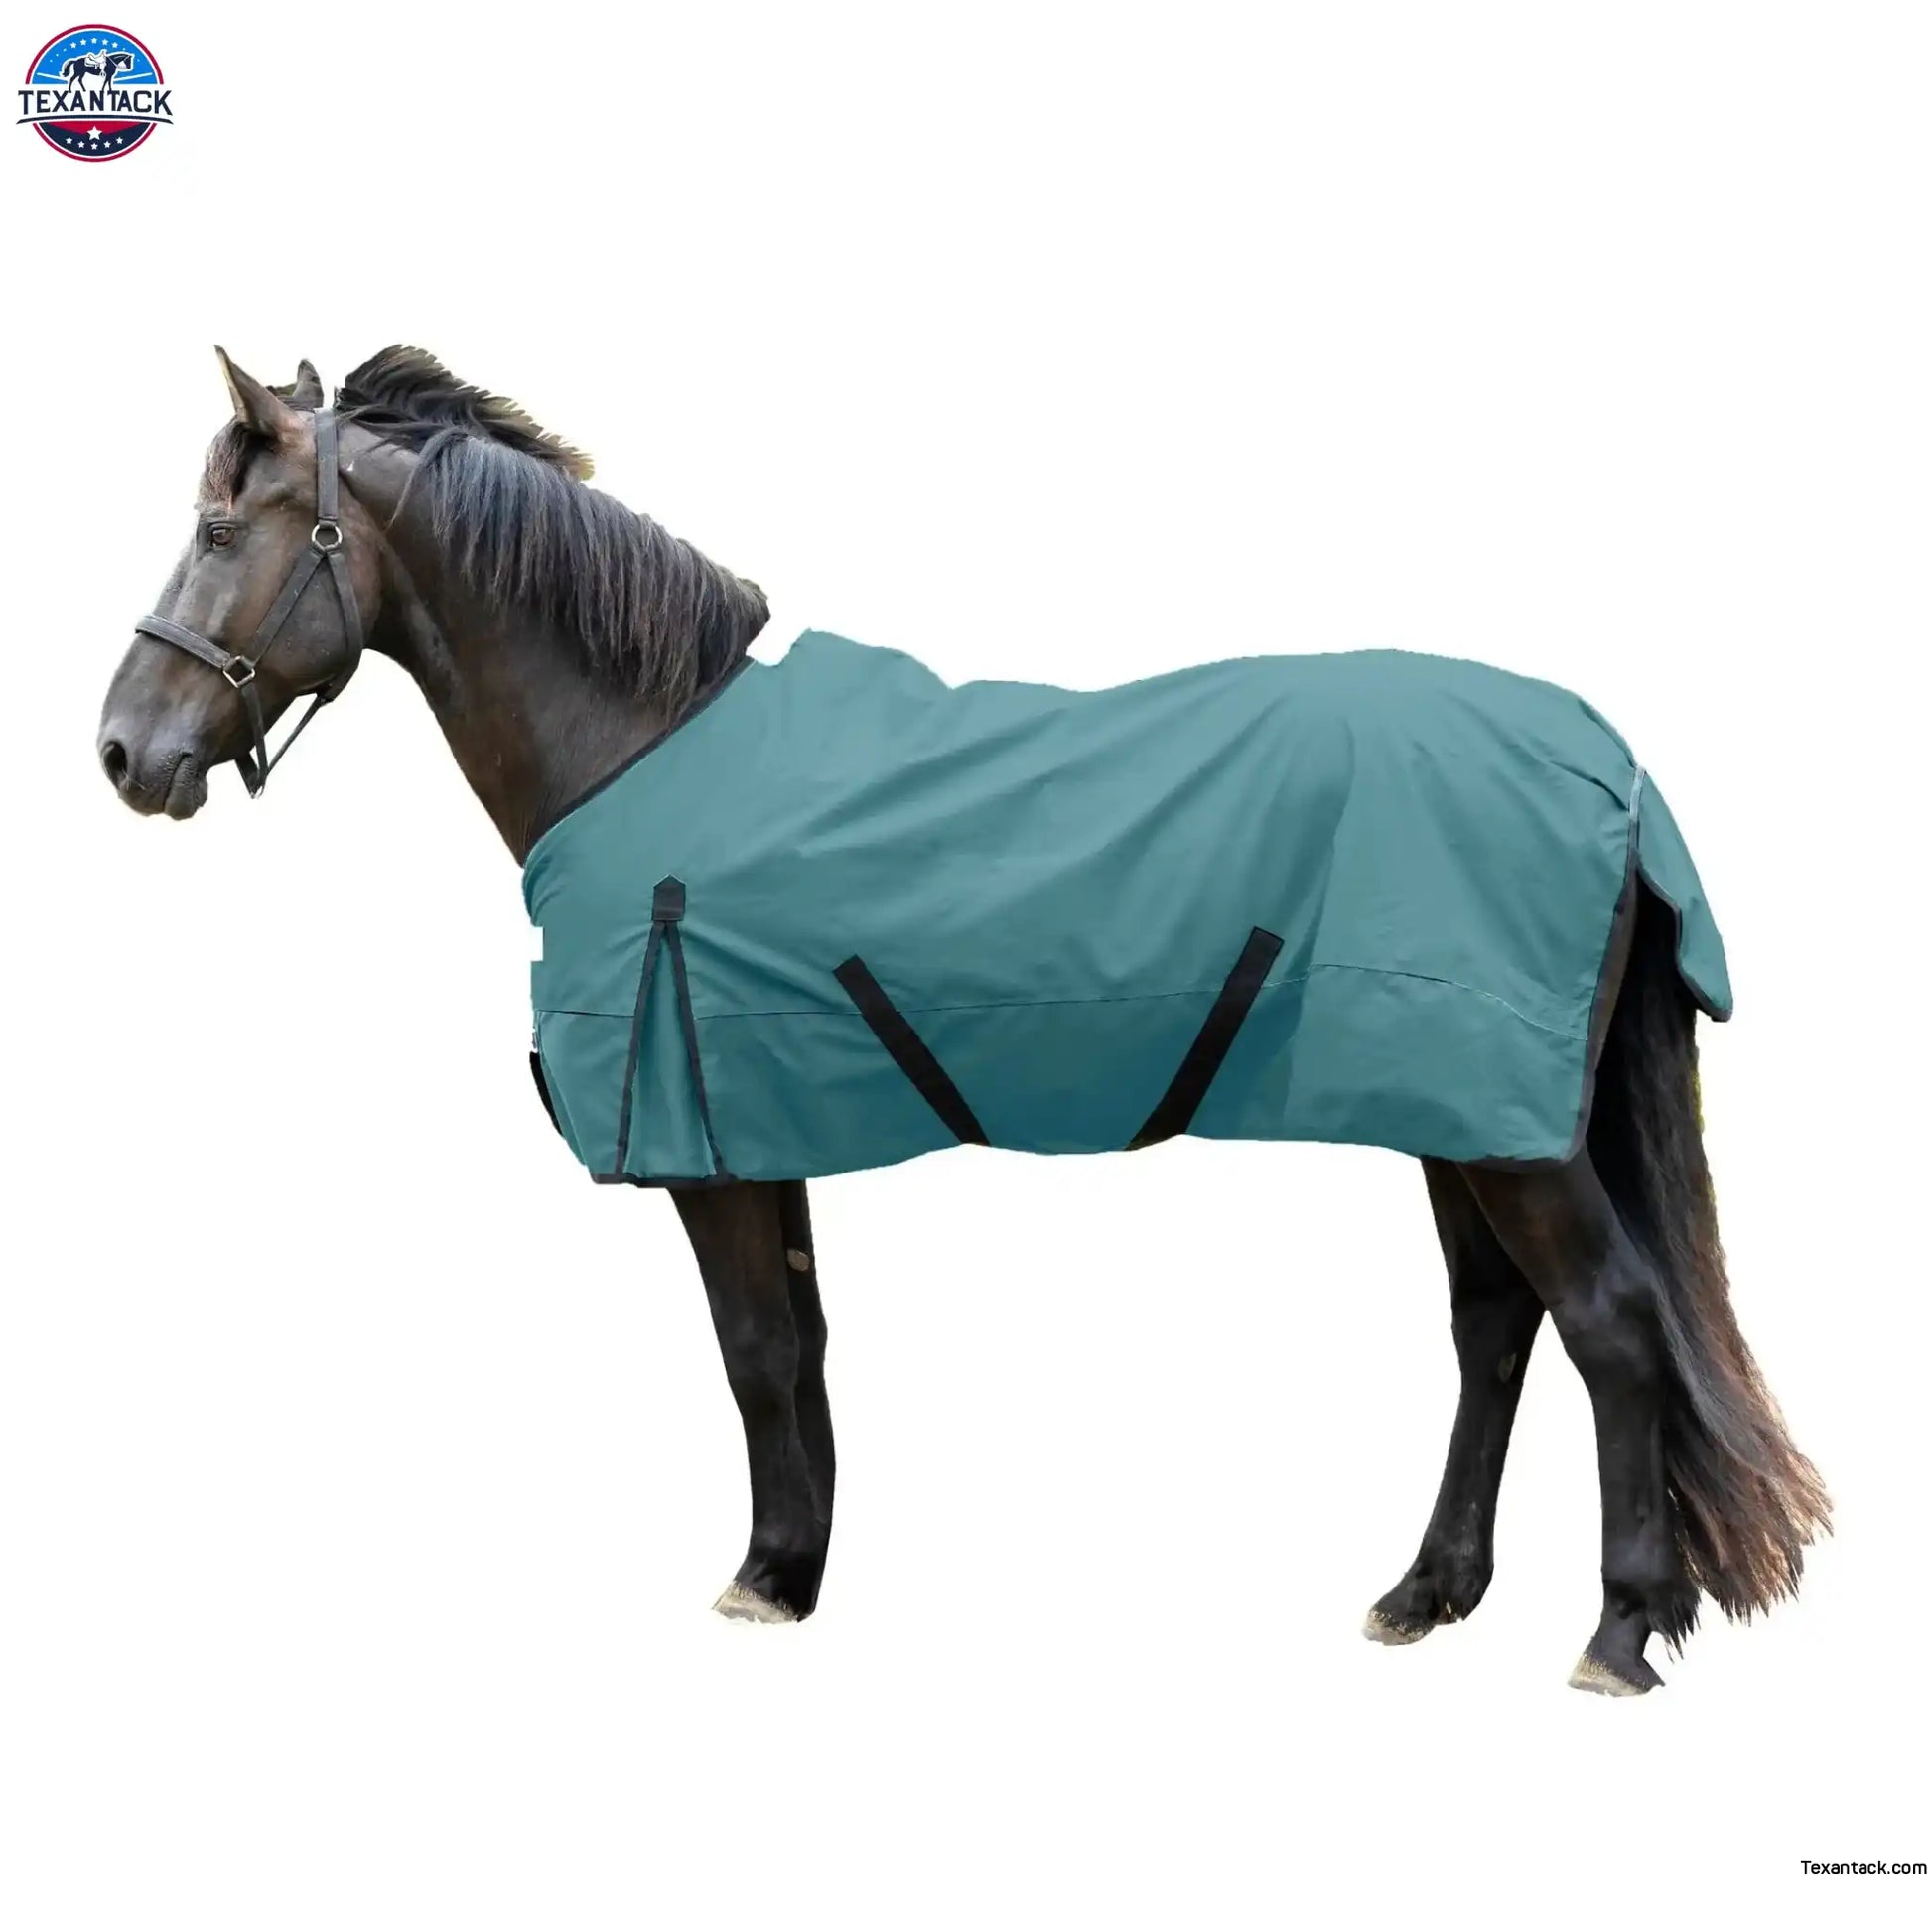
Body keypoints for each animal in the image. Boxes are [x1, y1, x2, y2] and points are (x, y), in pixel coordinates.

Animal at [96, 347, 1829, 1694]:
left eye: (216, 528)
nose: (121, 750)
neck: (642, 740)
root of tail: (1604, 758)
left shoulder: (709, 1144)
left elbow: (751, 1349)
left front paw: (759, 1577)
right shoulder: (759, 1123)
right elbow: (795, 1346)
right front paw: (795, 1565)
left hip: (1504, 1132)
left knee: (1609, 1327)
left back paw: (1615, 1630)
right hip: (1455, 1117)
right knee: (1494, 1329)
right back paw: (1427, 1592)